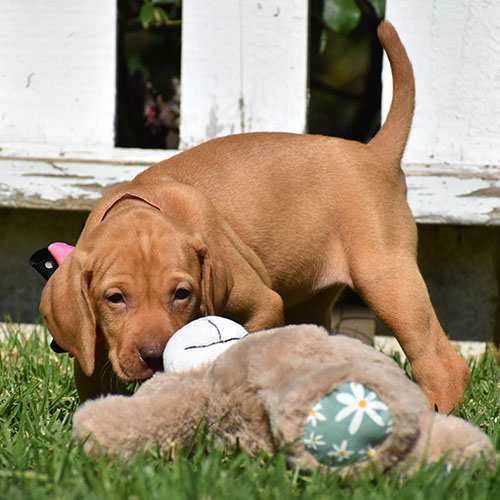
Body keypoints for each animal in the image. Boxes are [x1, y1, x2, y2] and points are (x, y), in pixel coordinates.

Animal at [40, 22, 470, 412]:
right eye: (114, 298)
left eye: (182, 294)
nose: (153, 355)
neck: (144, 204)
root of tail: (374, 153)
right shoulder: (91, 347)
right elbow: (96, 386)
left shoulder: (263, 305)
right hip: (312, 299)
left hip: (386, 277)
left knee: (441, 363)